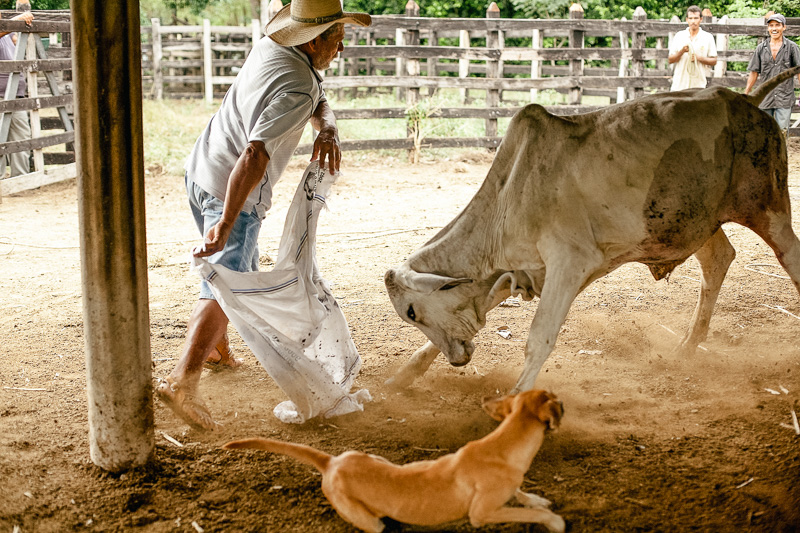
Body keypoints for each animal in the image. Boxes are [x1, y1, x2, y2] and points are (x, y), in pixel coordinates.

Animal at [222, 388, 564, 528]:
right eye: (553, 397)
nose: (562, 404)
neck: (503, 445)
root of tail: (332, 463)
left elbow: (522, 494)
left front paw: (535, 498)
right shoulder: (481, 514)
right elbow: (532, 515)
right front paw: (554, 521)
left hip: (377, 458)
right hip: (368, 521)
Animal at [382, 65, 800, 390]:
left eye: (412, 312)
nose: (457, 359)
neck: (509, 196)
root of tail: (745, 100)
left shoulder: (569, 261)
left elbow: (540, 336)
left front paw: (515, 400)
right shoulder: (525, 272)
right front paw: (402, 376)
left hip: (767, 206)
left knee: (789, 257)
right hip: (697, 221)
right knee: (718, 260)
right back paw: (687, 346)